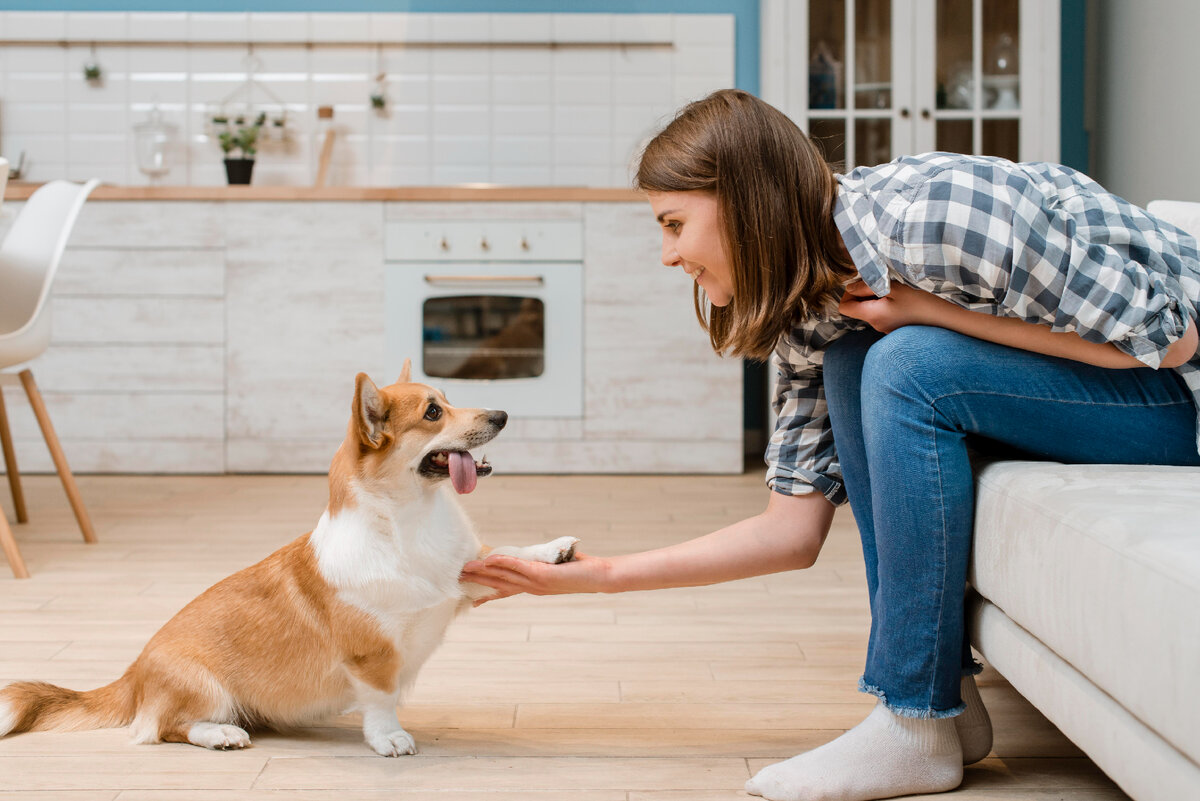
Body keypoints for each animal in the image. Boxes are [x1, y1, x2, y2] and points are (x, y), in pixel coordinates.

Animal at [0, 364, 576, 757]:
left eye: (450, 400)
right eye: (434, 413)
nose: (503, 415)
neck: (408, 520)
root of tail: (132, 673)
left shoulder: (462, 576)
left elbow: (504, 552)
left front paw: (554, 550)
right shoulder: (371, 654)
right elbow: (381, 698)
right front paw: (389, 739)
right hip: (203, 686)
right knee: (165, 728)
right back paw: (222, 734)